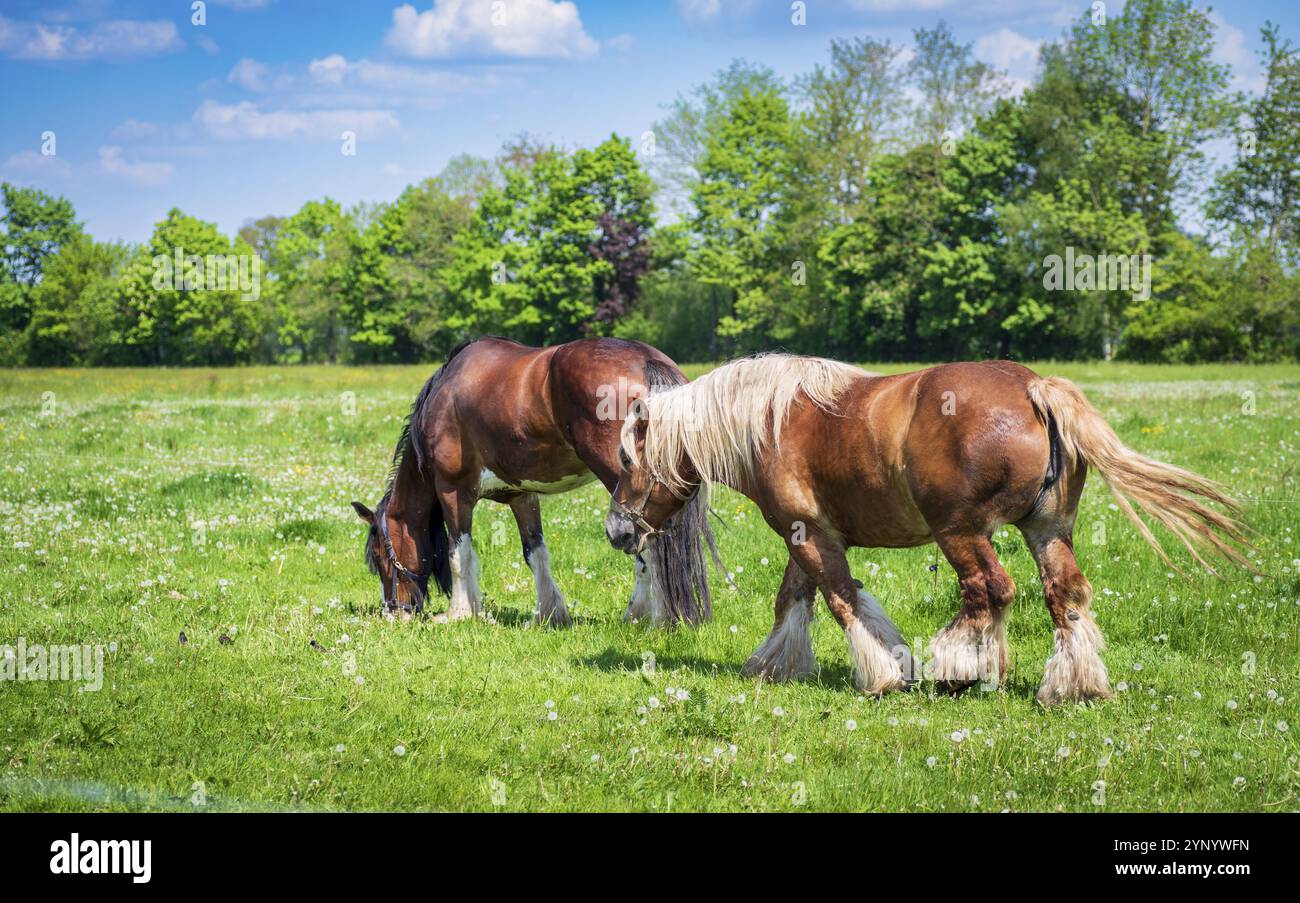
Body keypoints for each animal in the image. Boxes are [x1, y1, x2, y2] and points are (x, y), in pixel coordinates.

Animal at [352, 336, 718, 627]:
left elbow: (460, 552)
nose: (393, 612)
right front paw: (548, 614)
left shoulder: (453, 491)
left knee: (647, 544)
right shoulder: (522, 496)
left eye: (379, 557)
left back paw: (646, 617)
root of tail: (646, 361)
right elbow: (535, 552)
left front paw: (461, 613)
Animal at [604, 355, 1247, 704]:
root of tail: (1034, 388)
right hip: (1048, 529)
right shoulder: (807, 535)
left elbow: (842, 600)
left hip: (960, 532)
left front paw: (887, 673)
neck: (768, 422)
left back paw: (960, 669)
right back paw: (1074, 685)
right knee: (1065, 594)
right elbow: (794, 599)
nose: (616, 530)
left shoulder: (811, 536)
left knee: (990, 591)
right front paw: (775, 664)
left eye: (628, 459)